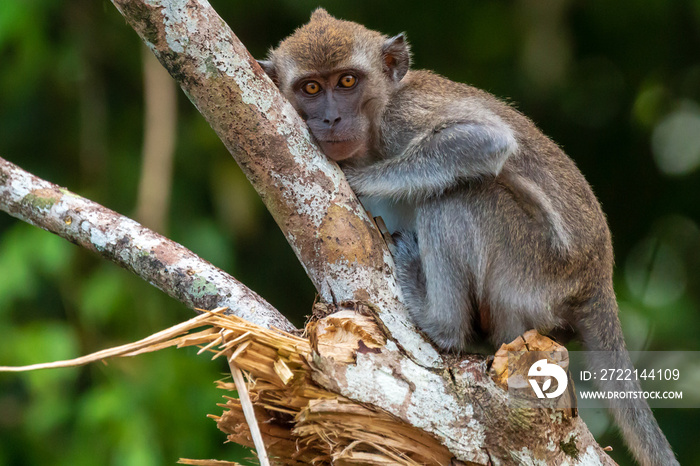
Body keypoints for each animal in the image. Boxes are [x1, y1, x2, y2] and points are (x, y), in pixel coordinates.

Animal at [258, 8, 680, 466]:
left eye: (347, 81)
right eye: (311, 88)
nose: (331, 119)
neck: (376, 120)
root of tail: (597, 279)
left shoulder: (402, 118)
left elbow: (485, 140)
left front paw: (362, 179)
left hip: (533, 265)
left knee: (457, 197)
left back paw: (440, 322)